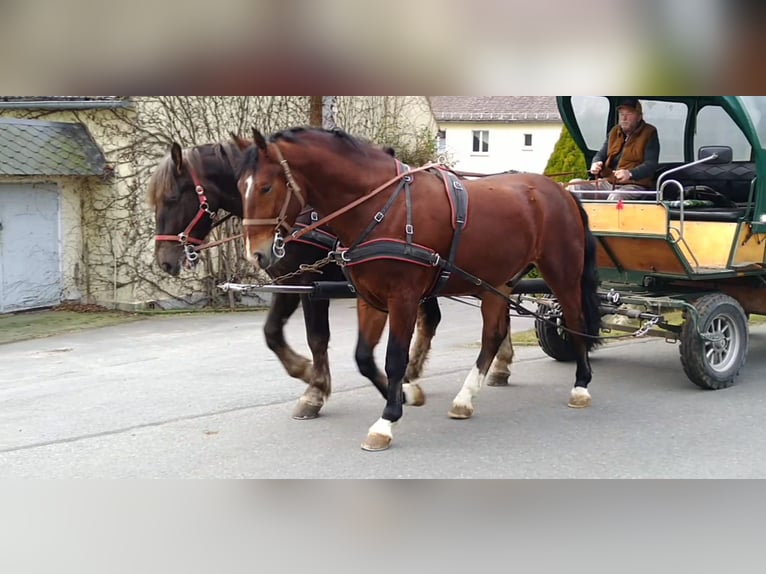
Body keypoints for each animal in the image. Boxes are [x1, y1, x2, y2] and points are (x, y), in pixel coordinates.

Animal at [148, 137, 480, 420]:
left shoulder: (309, 280)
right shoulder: (286, 280)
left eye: (172, 197)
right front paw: (305, 372)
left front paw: (315, 390)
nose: (164, 260)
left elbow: (317, 337)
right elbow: (271, 332)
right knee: (434, 318)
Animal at [237, 128, 604, 452]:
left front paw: (386, 421)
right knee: (493, 334)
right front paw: (402, 395)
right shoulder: (370, 298)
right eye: (241, 187)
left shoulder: (404, 298)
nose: (258, 254)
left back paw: (581, 386)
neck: (383, 207)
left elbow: (395, 358)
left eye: (266, 187)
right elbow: (364, 357)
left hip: (562, 273)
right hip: (498, 281)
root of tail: (562, 191)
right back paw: (465, 399)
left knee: (575, 320)